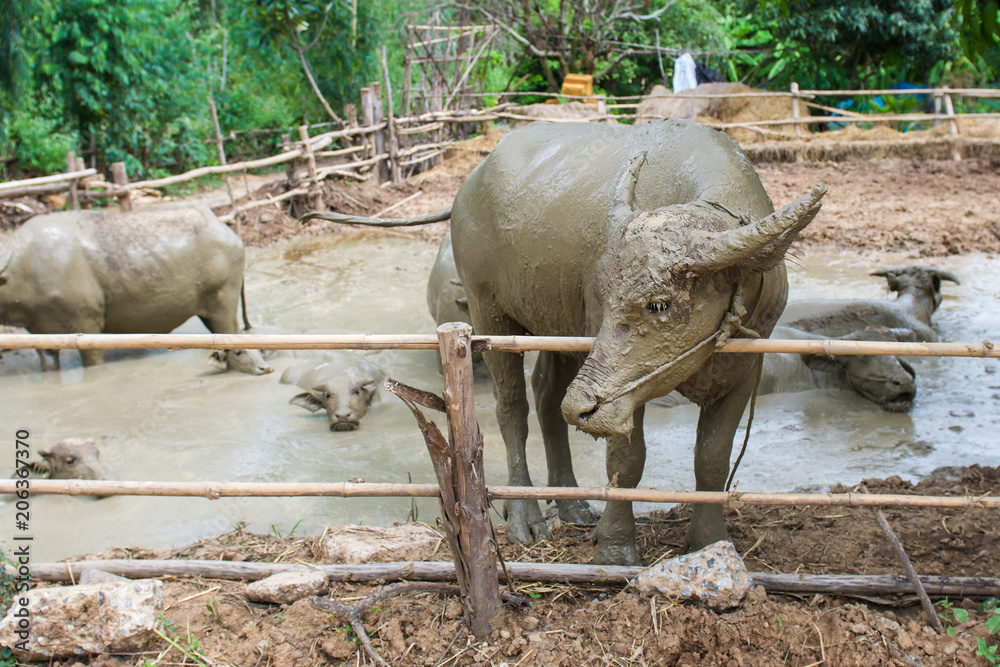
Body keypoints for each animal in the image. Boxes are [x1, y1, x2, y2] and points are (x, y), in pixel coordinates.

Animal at [0, 202, 272, 376]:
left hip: (223, 300)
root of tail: (229, 231)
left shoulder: (85, 323)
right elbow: (47, 361)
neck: (25, 268)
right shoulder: (38, 330)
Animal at [300, 120, 824, 564]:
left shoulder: (745, 367)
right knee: (513, 408)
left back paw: (570, 502)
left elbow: (712, 459)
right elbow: (627, 458)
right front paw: (616, 547)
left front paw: (709, 541)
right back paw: (525, 517)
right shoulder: (618, 380)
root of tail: (470, 184)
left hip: (559, 325)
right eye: (605, 295)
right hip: (492, 313)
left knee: (549, 397)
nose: (585, 406)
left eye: (659, 304)